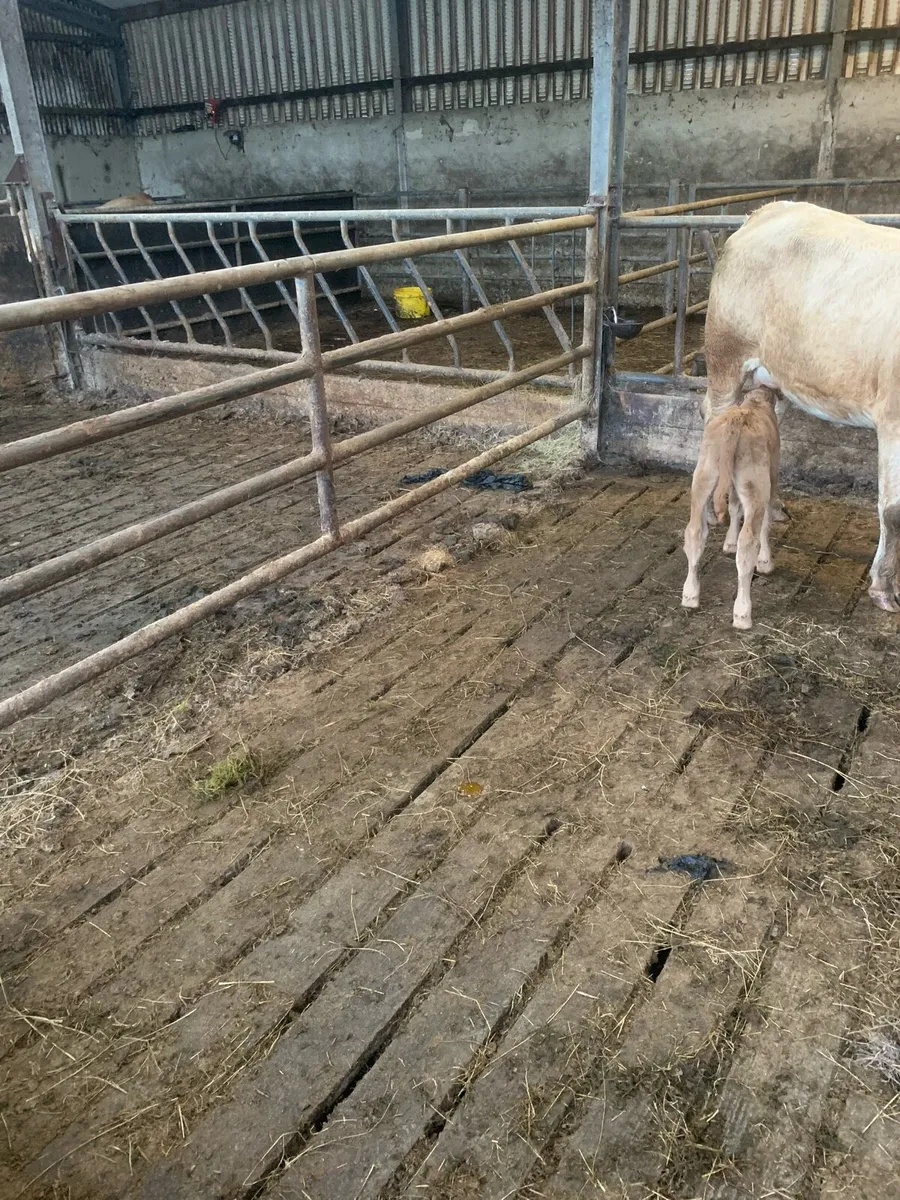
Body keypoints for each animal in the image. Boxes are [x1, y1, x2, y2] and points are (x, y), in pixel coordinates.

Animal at [682, 387, 780, 630]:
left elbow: (735, 505)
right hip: (755, 482)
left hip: (704, 473)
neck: (755, 403)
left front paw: (729, 542)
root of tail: (736, 422)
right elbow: (766, 522)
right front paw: (765, 561)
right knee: (748, 543)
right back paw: (742, 613)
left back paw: (690, 594)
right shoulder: (772, 475)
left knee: (694, 532)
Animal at [702, 200, 900, 611]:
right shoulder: (893, 417)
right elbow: (893, 510)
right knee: (710, 419)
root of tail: (768, 210)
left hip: (773, 383)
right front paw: (883, 585)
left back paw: (773, 506)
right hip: (725, 358)